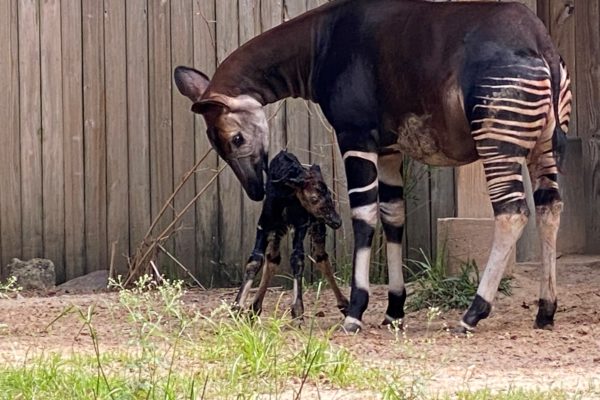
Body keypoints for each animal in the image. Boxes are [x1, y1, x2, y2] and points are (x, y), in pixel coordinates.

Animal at [232, 151, 350, 322]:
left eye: (329, 194)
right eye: (314, 198)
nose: (337, 221)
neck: (284, 195)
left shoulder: (299, 226)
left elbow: (297, 259)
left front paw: (298, 313)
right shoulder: (264, 226)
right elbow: (255, 260)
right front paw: (236, 308)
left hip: (316, 227)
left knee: (321, 257)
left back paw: (345, 305)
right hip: (280, 230)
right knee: (273, 259)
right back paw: (254, 309)